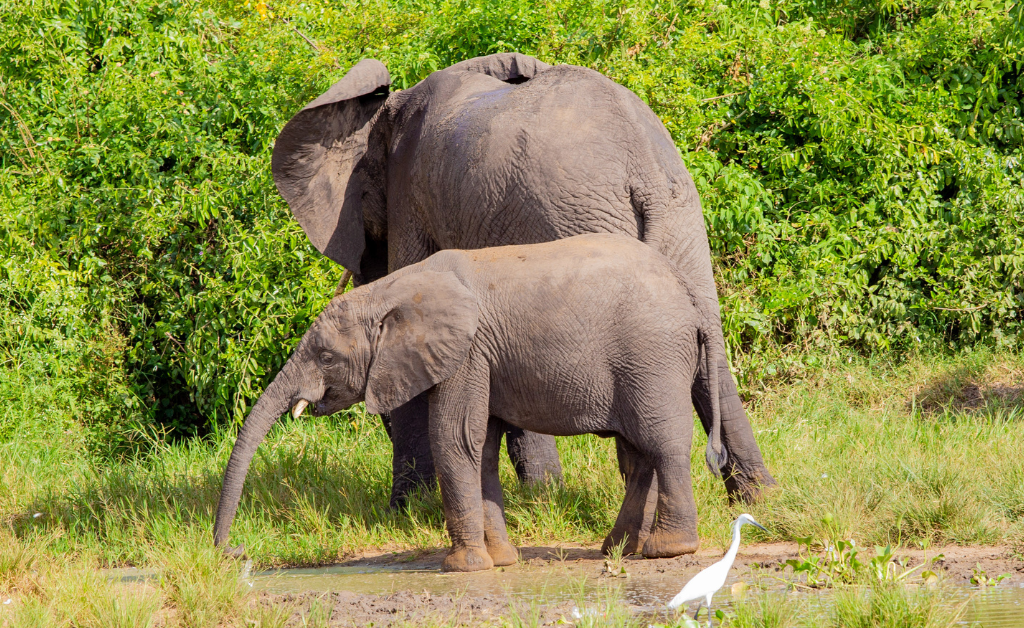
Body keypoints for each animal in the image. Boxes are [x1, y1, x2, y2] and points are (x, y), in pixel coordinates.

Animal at [214, 234, 727, 571]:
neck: (393, 290)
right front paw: (501, 562)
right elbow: (480, 448)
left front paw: (462, 567)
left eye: (325, 357)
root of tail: (692, 299)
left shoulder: (467, 351)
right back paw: (616, 551)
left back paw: (667, 550)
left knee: (661, 444)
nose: (236, 552)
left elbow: (454, 439)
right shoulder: (482, 359)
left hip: (652, 356)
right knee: (639, 453)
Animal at [271, 51, 775, 510]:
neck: (387, 112)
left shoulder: (410, 200)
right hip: (681, 216)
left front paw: (408, 511)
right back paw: (757, 498)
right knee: (710, 347)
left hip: (567, 218)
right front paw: (541, 497)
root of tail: (643, 168)